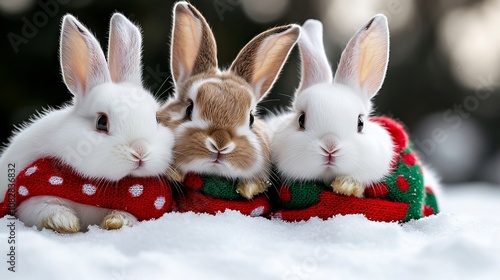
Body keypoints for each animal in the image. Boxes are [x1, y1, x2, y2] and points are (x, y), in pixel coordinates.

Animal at [0, 13, 175, 232]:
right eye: (101, 122)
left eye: (156, 118)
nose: (140, 151)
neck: (93, 191)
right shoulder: (29, 198)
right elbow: (44, 208)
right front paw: (65, 223)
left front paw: (116, 221)